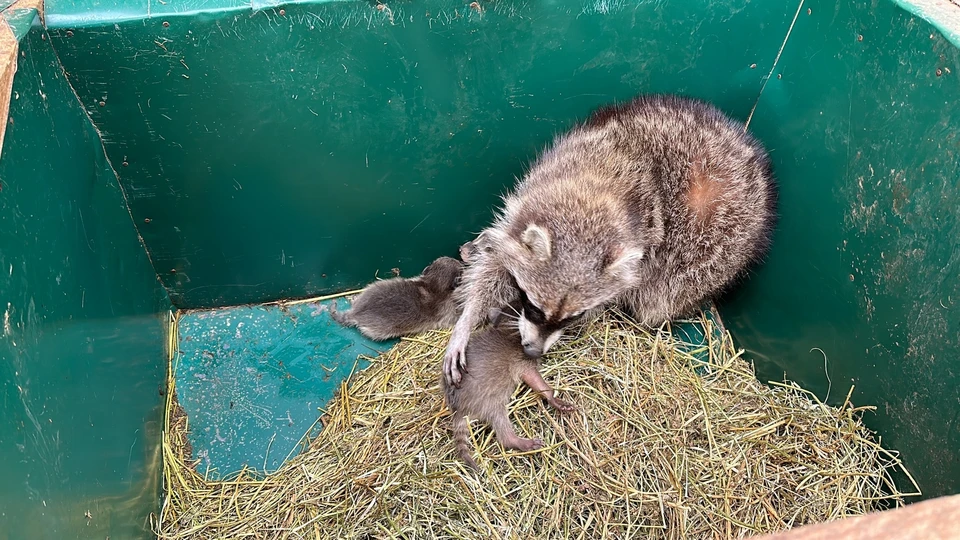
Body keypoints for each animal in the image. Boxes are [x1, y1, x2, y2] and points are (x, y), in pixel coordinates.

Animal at [444, 95, 780, 386]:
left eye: (574, 316)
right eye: (536, 309)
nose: (534, 351)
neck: (594, 195)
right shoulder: (534, 190)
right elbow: (496, 264)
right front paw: (468, 319)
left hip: (718, 249)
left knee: (662, 295)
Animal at [444, 302, 576, 470]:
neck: (506, 326)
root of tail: (458, 410)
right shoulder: (521, 360)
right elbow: (534, 379)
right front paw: (551, 396)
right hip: (487, 400)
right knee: (500, 421)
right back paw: (516, 441)